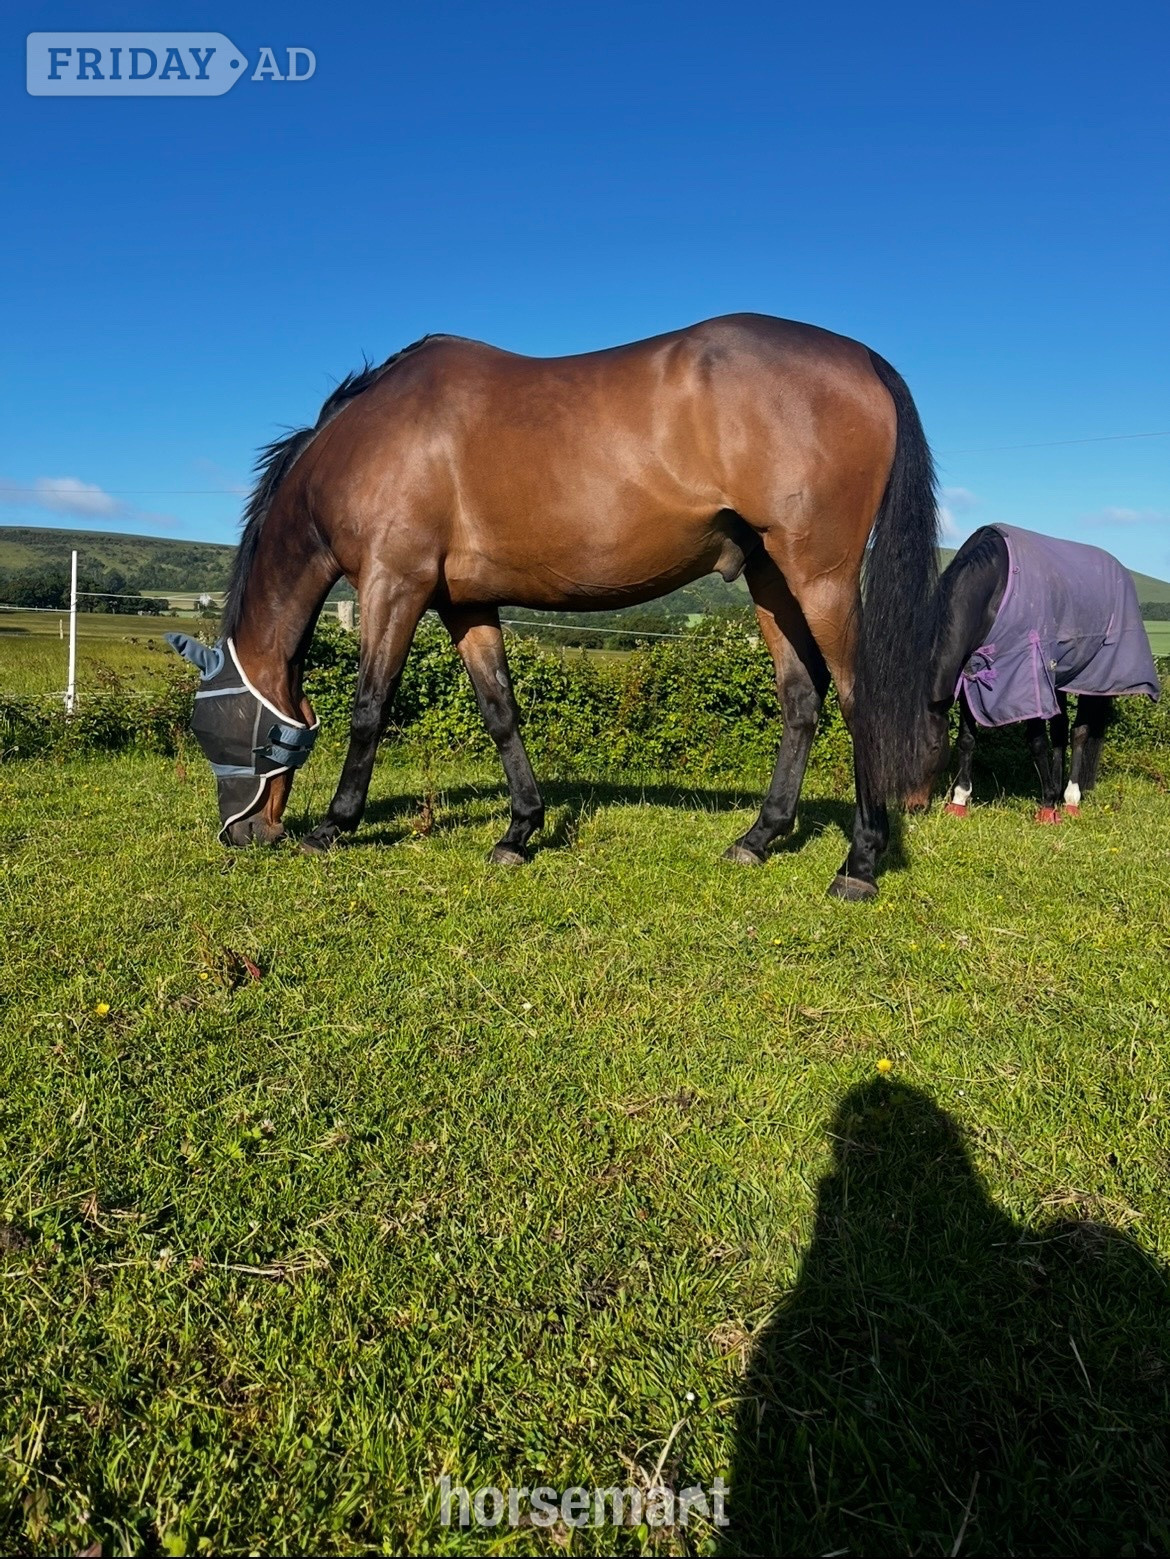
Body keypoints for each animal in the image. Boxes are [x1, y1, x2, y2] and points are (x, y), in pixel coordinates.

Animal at [168, 314, 943, 900]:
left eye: (212, 731)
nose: (241, 835)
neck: (365, 440)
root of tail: (862, 357)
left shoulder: (395, 584)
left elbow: (369, 709)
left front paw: (334, 825)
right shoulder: (465, 604)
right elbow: (501, 712)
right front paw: (519, 831)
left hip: (820, 576)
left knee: (858, 700)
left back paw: (859, 863)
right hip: (771, 579)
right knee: (801, 700)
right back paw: (757, 837)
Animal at [915, 524, 1160, 820]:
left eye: (933, 747)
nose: (912, 805)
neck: (996, 586)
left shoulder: (1027, 674)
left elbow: (1037, 741)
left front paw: (1047, 807)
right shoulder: (970, 676)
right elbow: (967, 739)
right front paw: (959, 800)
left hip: (1093, 678)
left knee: (1080, 732)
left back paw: (1070, 799)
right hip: (1059, 678)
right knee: (1060, 731)